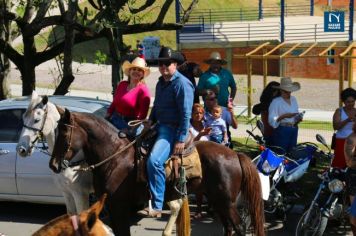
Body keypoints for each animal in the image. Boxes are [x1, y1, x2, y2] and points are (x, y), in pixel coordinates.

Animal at [49, 109, 264, 236]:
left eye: (64, 133)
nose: (53, 165)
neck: (114, 157)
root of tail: (236, 154)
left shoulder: (120, 206)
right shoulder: (110, 206)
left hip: (226, 202)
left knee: (239, 227)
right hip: (218, 201)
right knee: (228, 228)